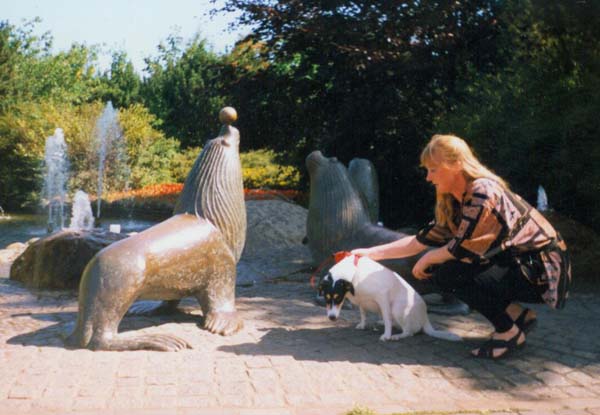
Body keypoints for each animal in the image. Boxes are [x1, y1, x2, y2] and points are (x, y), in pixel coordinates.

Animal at [318, 253, 461, 342]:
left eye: (338, 297)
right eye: (326, 297)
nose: (331, 318)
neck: (354, 274)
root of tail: (425, 317)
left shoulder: (383, 297)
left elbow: (387, 319)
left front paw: (386, 335)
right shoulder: (362, 301)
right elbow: (363, 314)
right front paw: (363, 325)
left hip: (397, 309)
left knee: (409, 331)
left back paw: (396, 336)